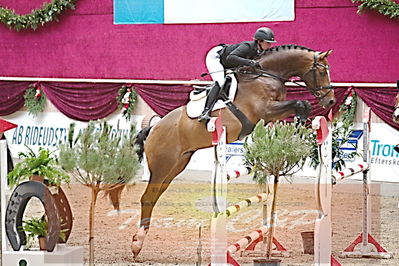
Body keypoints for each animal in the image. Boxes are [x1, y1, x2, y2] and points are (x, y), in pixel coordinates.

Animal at [130, 44, 334, 256]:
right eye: (321, 71)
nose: (330, 102)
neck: (266, 75)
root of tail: (154, 127)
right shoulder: (266, 110)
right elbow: (301, 103)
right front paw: (300, 124)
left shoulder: (273, 112)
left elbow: (302, 105)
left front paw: (299, 126)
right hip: (162, 166)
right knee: (147, 198)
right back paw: (137, 244)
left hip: (175, 166)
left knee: (154, 196)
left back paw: (139, 241)